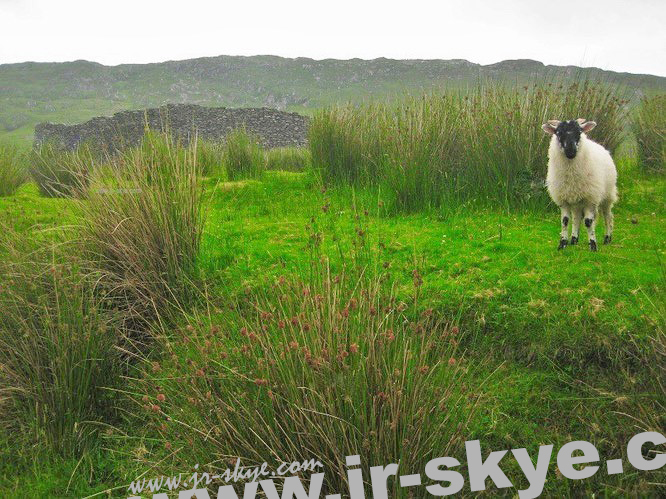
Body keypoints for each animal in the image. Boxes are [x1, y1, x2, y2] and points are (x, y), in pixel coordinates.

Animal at [540, 119, 616, 252]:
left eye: (579, 132)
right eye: (558, 133)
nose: (571, 151)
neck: (571, 175)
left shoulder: (590, 199)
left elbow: (588, 222)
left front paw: (593, 245)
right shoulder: (564, 200)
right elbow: (565, 221)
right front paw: (562, 244)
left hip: (607, 196)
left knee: (608, 216)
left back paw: (607, 238)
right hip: (576, 200)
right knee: (576, 218)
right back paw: (574, 239)